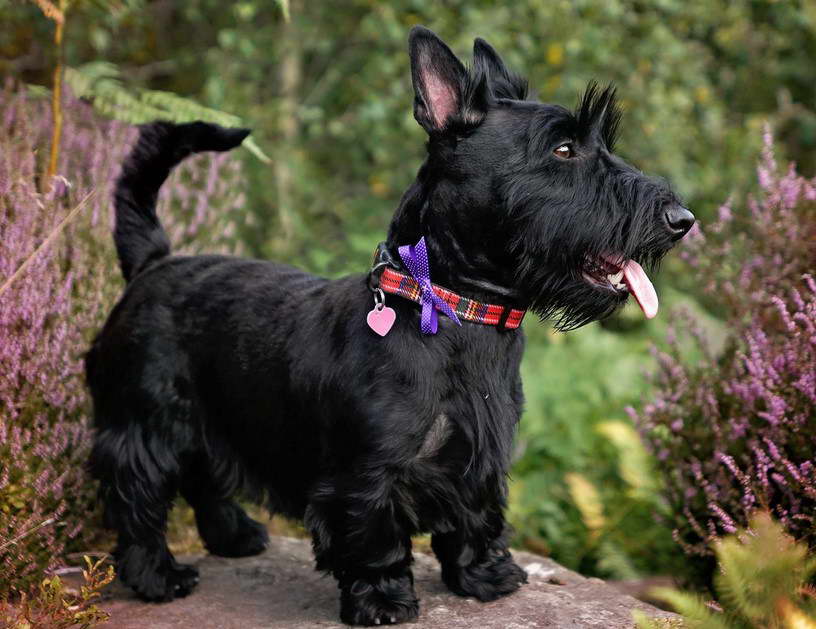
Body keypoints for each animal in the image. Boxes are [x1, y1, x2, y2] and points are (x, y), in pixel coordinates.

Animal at [87, 25, 688, 624]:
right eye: (563, 149)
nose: (682, 220)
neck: (455, 310)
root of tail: (154, 262)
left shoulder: (482, 459)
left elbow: (477, 517)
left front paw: (485, 575)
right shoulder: (366, 476)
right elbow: (374, 539)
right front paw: (382, 599)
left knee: (204, 476)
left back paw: (234, 536)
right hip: (145, 424)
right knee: (138, 500)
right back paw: (158, 575)